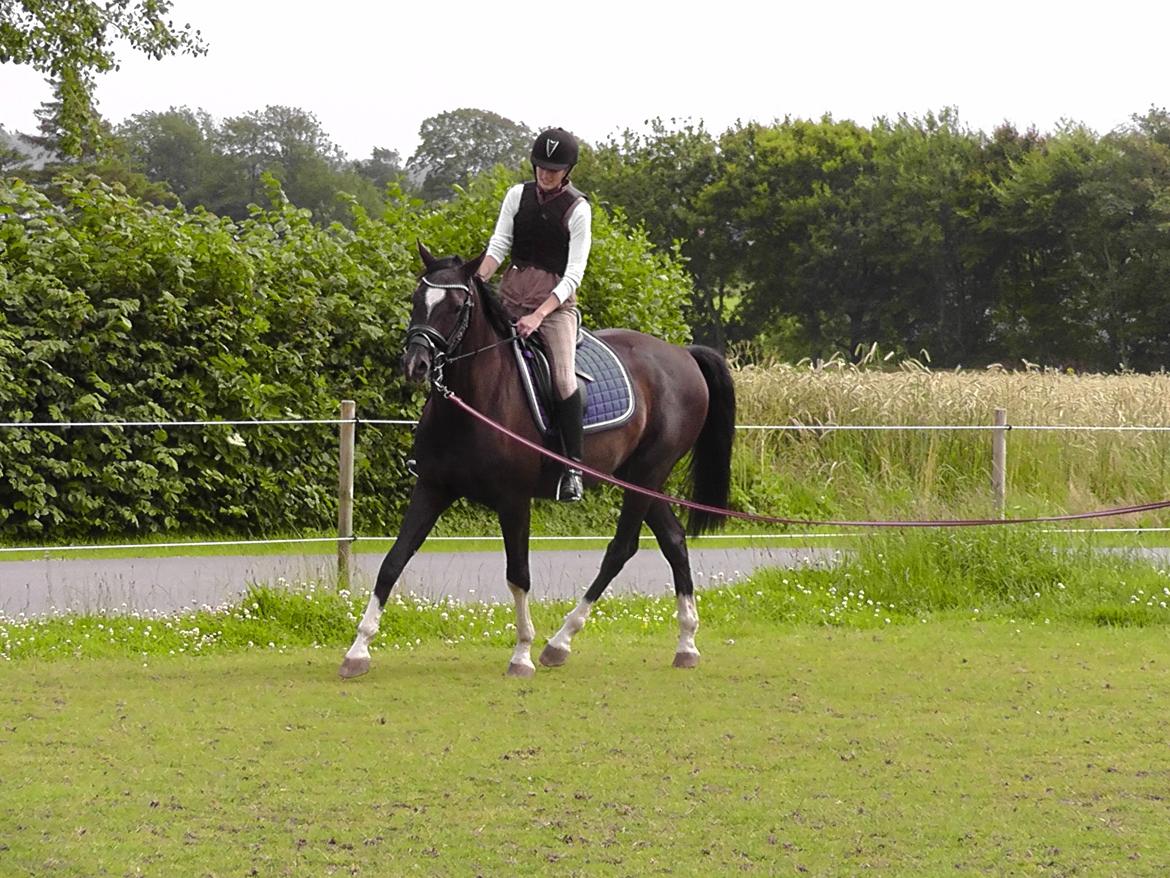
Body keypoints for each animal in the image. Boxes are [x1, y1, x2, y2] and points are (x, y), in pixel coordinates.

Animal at [336, 245, 730, 678]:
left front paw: (522, 653)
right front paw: (357, 650)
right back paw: (686, 643)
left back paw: (560, 642)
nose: (416, 365)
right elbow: (393, 562)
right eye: (416, 300)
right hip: (641, 479)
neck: (475, 402)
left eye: (456, 307)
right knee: (673, 540)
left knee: (621, 548)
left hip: (647, 474)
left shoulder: (514, 500)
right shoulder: (432, 488)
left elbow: (518, 575)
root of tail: (683, 355)